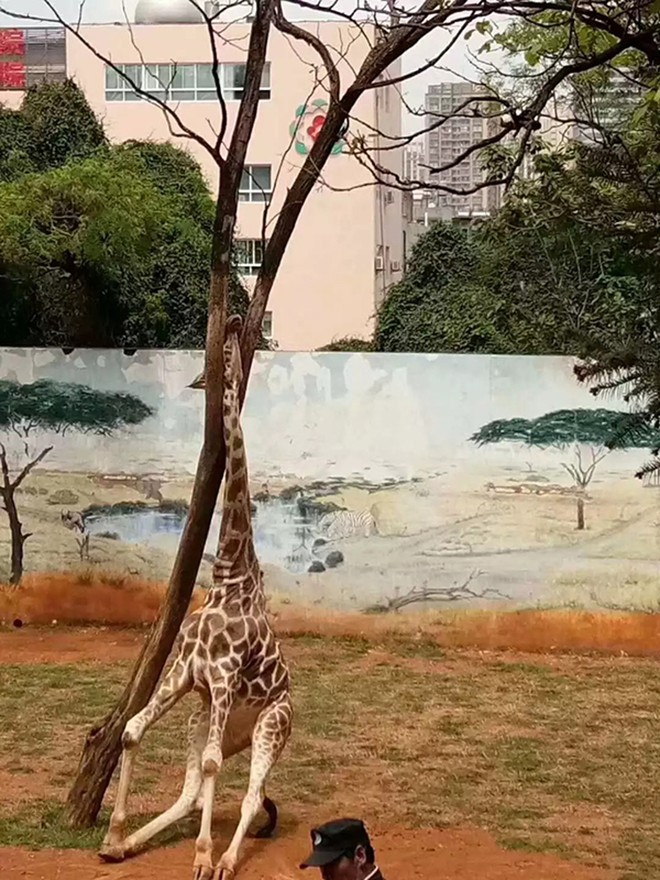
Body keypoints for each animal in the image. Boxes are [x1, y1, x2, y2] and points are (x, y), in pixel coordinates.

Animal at [99, 315, 293, 879]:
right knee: (192, 789)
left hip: (272, 725)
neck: (229, 575)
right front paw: (112, 834)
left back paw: (224, 860)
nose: (199, 383)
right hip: (206, 719)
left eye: (217, 363)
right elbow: (132, 730)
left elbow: (209, 767)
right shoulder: (187, 673)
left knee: (247, 793)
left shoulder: (224, 678)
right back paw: (130, 843)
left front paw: (203, 857)